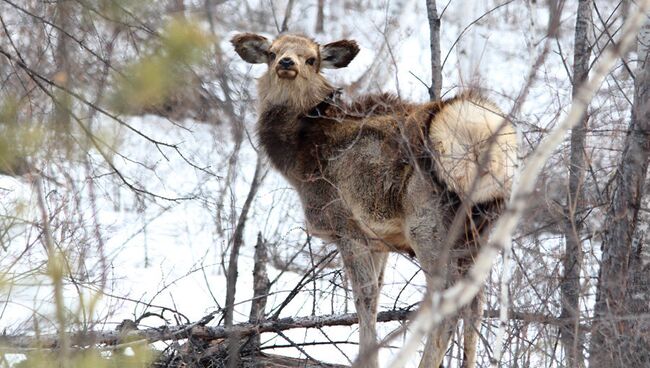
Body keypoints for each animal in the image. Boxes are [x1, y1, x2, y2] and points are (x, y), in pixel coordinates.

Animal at [230, 33, 512, 366]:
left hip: (427, 225)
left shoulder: (347, 228)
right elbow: (375, 298)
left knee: (447, 303)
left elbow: (362, 300)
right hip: (481, 229)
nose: (287, 63)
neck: (299, 157)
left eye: (312, 59)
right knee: (476, 302)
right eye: (272, 53)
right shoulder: (380, 240)